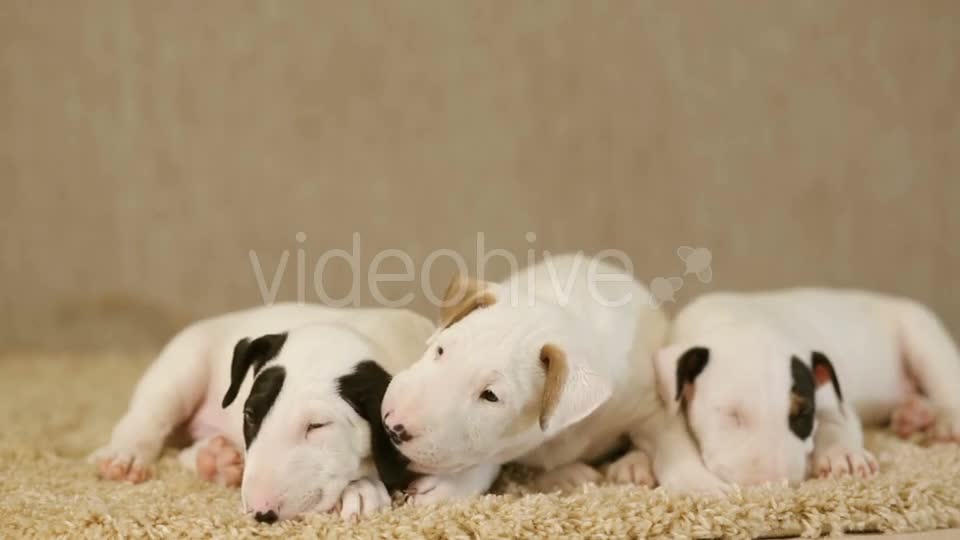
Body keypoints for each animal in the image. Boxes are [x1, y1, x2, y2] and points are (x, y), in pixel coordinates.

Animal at [93, 302, 432, 520]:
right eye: (250, 416)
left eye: (317, 426)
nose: (260, 512)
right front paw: (361, 489)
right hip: (182, 367)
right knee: (147, 418)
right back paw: (126, 456)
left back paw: (217, 460)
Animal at [378, 255, 672, 504]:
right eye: (440, 351)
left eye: (491, 396)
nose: (392, 428)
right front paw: (450, 486)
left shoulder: (644, 402)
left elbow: (661, 436)